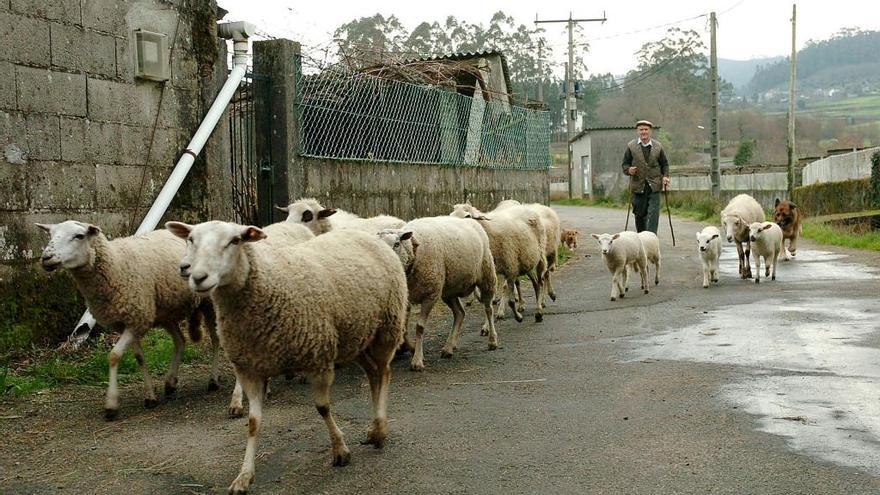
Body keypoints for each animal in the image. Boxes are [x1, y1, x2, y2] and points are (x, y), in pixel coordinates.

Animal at [36, 223, 220, 420]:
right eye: (51, 234)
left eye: (79, 236)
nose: (46, 258)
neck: (116, 264)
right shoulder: (129, 322)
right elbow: (139, 357)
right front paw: (150, 396)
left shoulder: (136, 319)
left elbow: (114, 355)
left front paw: (111, 404)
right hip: (164, 311)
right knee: (180, 340)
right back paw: (170, 382)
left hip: (209, 303)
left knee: (215, 339)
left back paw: (213, 380)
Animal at [166, 222, 410, 495]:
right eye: (190, 239)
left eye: (235, 240)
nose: (198, 277)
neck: (266, 284)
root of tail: (367, 235)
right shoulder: (250, 369)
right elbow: (253, 423)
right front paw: (244, 476)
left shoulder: (318, 358)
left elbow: (322, 407)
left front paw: (340, 450)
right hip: (357, 336)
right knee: (372, 374)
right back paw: (373, 429)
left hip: (387, 327)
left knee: (384, 373)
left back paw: (380, 429)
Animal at [378, 217, 498, 372]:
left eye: (397, 244)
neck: (415, 250)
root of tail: (471, 221)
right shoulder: (406, 299)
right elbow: (403, 328)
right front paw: (411, 349)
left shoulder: (431, 294)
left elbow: (420, 327)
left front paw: (417, 360)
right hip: (449, 289)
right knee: (460, 313)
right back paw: (448, 348)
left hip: (486, 275)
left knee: (488, 309)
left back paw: (492, 340)